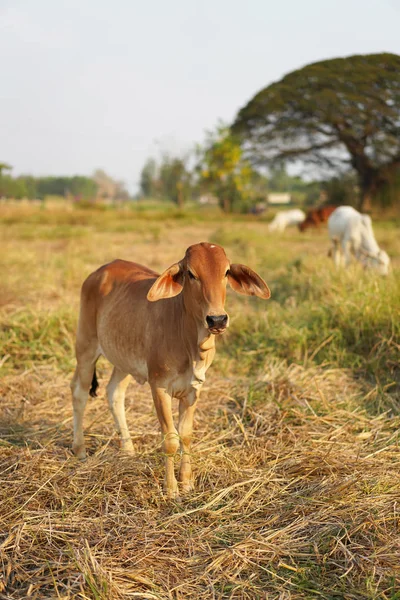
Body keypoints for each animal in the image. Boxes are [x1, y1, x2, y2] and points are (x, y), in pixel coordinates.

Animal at [71, 241, 272, 500]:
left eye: (226, 272)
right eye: (191, 274)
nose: (217, 319)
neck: (189, 340)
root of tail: (100, 272)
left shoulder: (193, 389)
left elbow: (185, 435)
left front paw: (186, 482)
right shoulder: (159, 386)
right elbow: (170, 439)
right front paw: (171, 489)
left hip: (123, 360)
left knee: (114, 393)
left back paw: (128, 449)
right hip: (86, 345)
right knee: (79, 392)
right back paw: (80, 449)